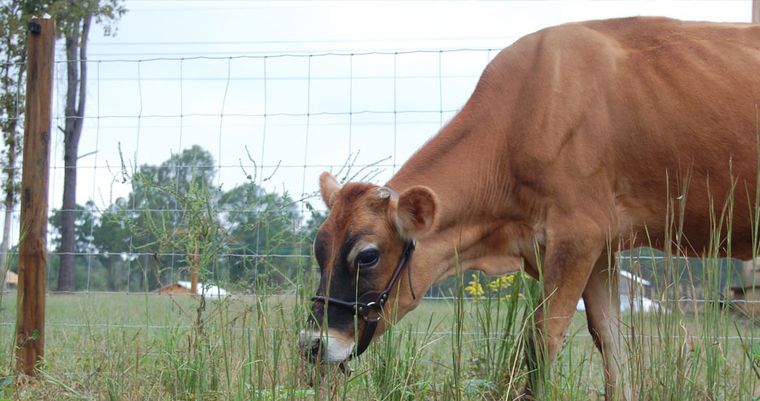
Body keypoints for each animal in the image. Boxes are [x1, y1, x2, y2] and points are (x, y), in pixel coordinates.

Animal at [299, 17, 760, 400]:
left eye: (368, 255)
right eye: (319, 250)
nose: (312, 343)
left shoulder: (577, 236)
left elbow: (541, 342)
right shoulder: (601, 249)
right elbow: (611, 344)